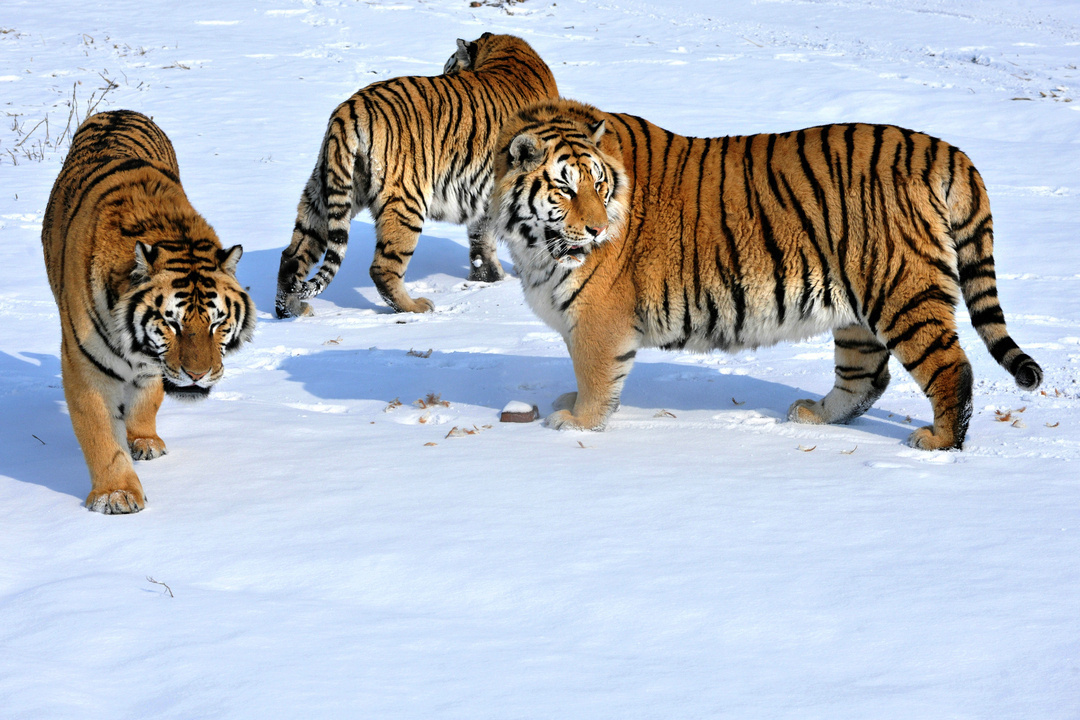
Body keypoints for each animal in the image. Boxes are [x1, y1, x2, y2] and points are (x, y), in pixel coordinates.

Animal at [42, 111, 257, 511]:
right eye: (171, 323)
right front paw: (116, 493)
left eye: (218, 322)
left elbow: (148, 397)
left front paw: (144, 441)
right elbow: (99, 432)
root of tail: (118, 110)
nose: (197, 375)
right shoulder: (84, 365)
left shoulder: (152, 367)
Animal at [274, 31, 561, 317]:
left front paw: (488, 278)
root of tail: (348, 112)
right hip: (407, 200)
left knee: (292, 255)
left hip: (328, 190)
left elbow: (481, 238)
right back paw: (416, 307)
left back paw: (292, 309)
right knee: (382, 268)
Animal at [488, 99, 1036, 451]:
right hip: (859, 308)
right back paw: (814, 415)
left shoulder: (598, 317)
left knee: (950, 366)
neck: (535, 244)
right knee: (865, 375)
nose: (598, 230)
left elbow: (595, 373)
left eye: (598, 186)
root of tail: (944, 149)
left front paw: (576, 421)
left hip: (901, 290)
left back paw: (938, 442)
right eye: (564, 188)